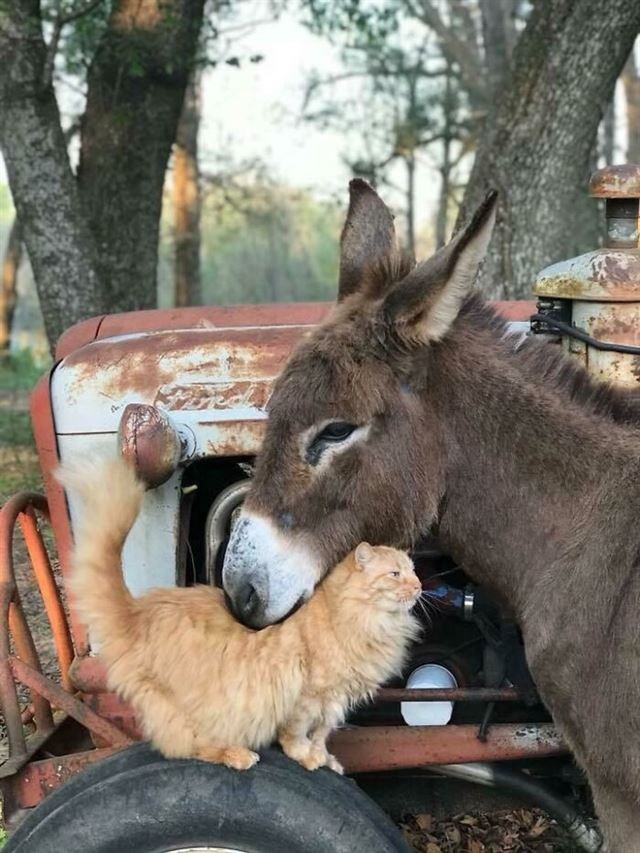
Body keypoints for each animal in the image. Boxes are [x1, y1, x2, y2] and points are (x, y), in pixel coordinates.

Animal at [57, 460, 422, 772]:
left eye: (413, 571)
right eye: (395, 574)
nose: (419, 586)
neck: (361, 619)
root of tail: (136, 610)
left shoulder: (335, 702)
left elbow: (322, 735)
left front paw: (325, 759)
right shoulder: (305, 698)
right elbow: (298, 735)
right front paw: (306, 758)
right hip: (194, 712)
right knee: (186, 748)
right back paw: (239, 756)